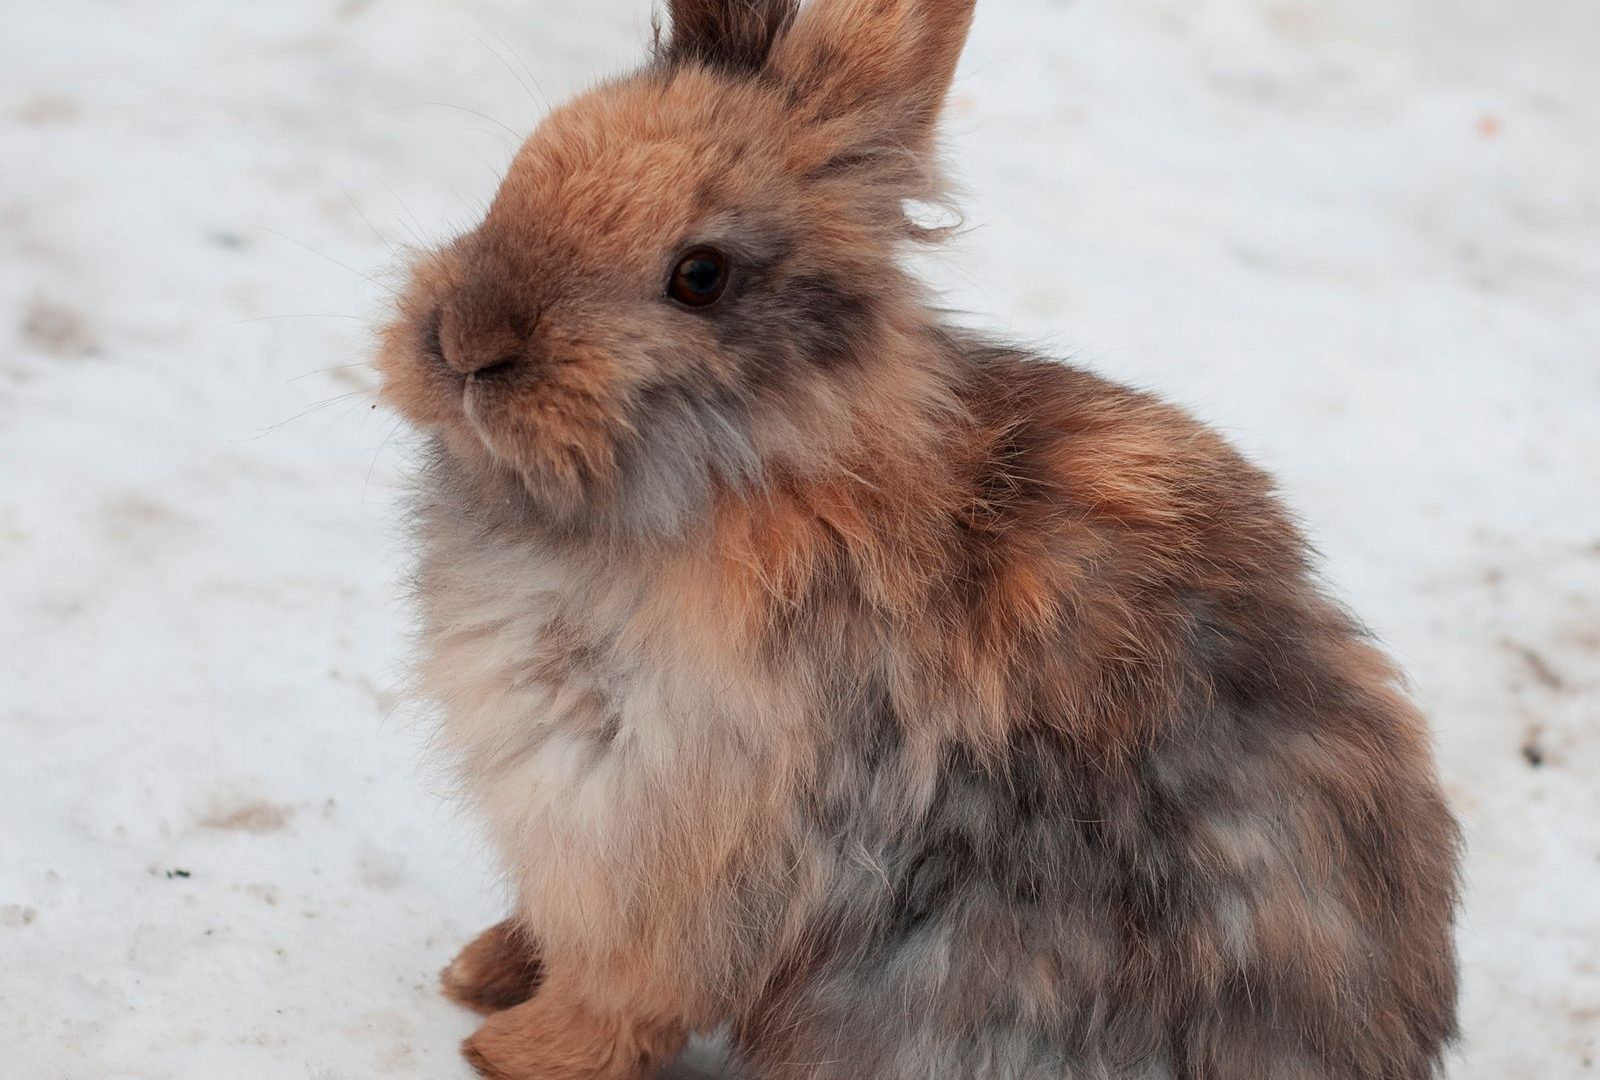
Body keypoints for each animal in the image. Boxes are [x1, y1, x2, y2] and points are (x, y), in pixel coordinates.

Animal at [375, 1, 1462, 1077]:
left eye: (700, 277)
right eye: (525, 162)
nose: (468, 343)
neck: (750, 478)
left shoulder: (672, 840)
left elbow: (622, 993)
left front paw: (507, 1050)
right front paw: (481, 971)